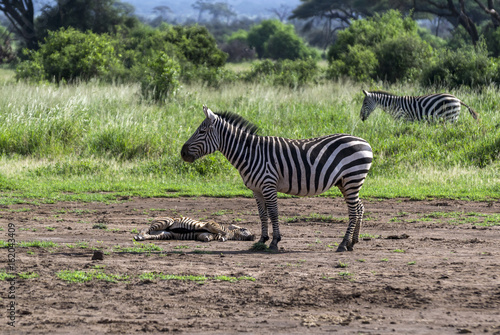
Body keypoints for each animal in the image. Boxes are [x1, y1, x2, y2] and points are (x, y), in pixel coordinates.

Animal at [182, 105, 374, 252]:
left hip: (352, 179)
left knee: (353, 211)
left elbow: (273, 213)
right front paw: (262, 240)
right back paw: (352, 242)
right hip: (346, 182)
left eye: (201, 131)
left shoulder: (268, 185)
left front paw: (274, 242)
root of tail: (365, 142)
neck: (250, 154)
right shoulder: (257, 189)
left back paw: (343, 244)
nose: (182, 153)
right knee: (360, 208)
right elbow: (262, 214)